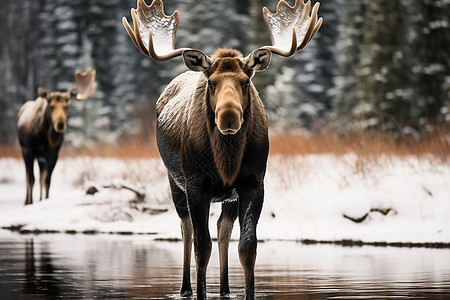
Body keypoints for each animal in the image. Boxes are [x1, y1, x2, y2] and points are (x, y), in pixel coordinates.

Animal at [16, 68, 96, 205]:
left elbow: (47, 181)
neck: (46, 140)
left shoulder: (53, 155)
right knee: (28, 177)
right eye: (51, 106)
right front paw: (29, 203)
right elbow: (31, 179)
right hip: (24, 151)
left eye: (67, 106)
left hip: (41, 159)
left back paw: (40, 198)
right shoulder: (30, 151)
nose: (60, 124)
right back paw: (26, 201)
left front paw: (45, 199)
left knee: (41, 178)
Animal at [122, 0, 320, 298]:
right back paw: (186, 288)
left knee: (223, 228)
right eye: (212, 82)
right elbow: (202, 246)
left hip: (227, 196)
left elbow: (247, 247)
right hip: (173, 181)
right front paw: (201, 292)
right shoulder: (195, 184)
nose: (228, 117)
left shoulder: (253, 183)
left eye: (246, 81)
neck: (226, 160)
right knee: (187, 228)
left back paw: (225, 288)